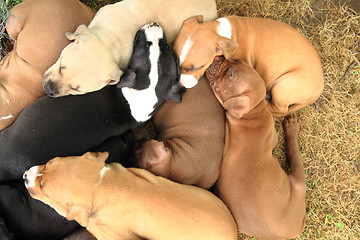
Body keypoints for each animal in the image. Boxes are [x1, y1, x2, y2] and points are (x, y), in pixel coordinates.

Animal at [173, 14, 324, 116]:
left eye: (194, 68)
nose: (176, 83)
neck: (222, 33)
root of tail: (320, 86)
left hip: (283, 87)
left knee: (281, 109)